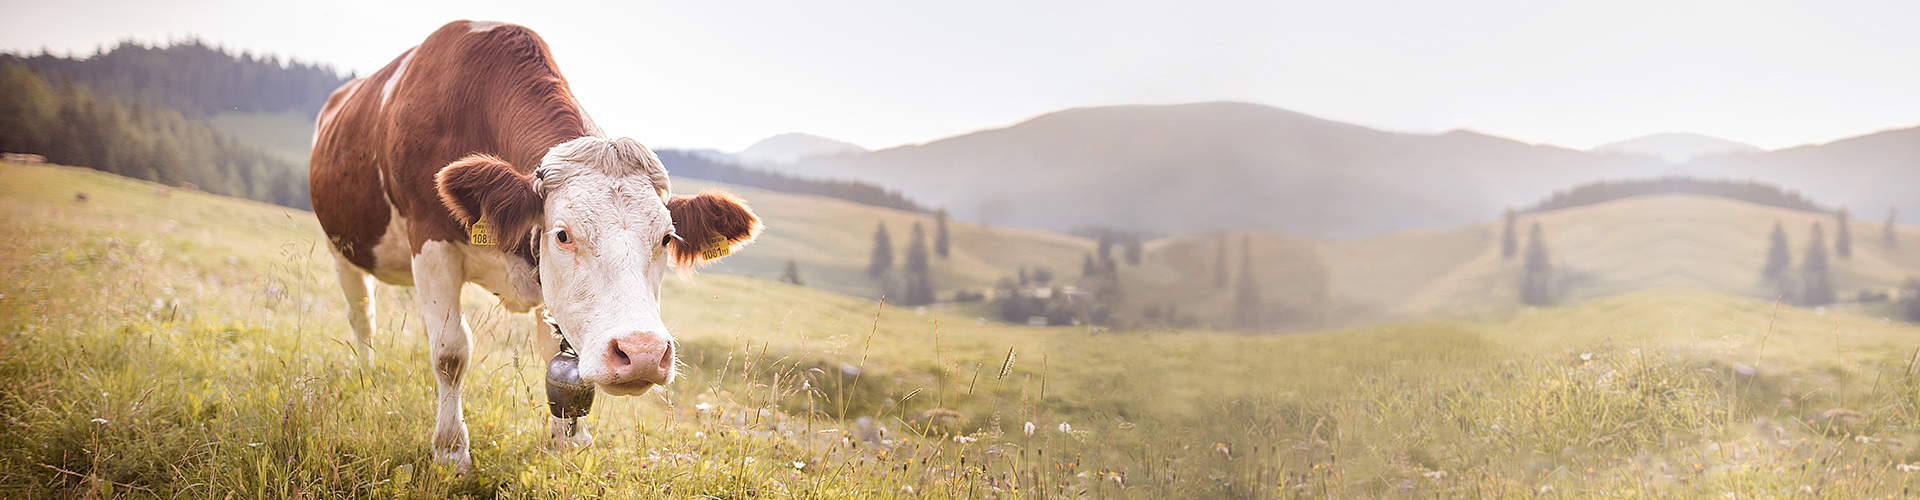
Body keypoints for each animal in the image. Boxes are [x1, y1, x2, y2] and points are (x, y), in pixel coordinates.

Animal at [307, 19, 756, 471]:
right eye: (563, 234)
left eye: (665, 237)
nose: (642, 352)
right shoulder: (431, 244)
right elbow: (450, 351)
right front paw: (451, 450)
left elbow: (553, 354)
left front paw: (570, 440)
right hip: (340, 247)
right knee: (362, 314)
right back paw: (368, 373)